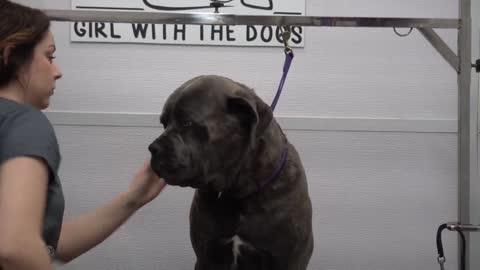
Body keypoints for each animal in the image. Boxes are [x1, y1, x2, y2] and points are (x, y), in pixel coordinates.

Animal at [150, 75, 316, 270]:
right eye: (164, 123)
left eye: (187, 122)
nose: (153, 148)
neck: (236, 194)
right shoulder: (206, 256)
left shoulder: (289, 260)